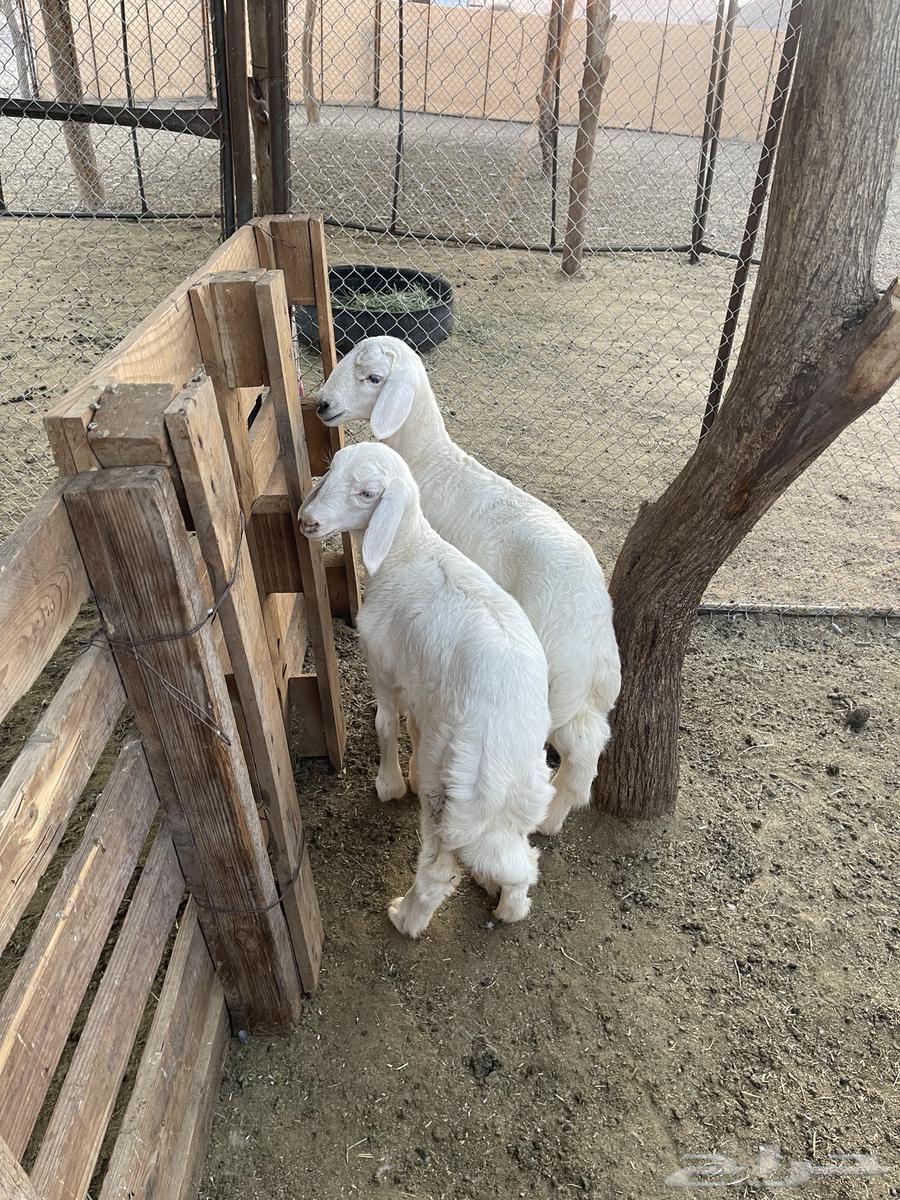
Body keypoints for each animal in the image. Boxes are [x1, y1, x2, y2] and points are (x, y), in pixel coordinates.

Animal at [299, 441, 554, 938]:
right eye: (331, 470)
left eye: (367, 493)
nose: (307, 522)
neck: (405, 549)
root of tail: (509, 742)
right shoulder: (424, 686)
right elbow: (414, 728)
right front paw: (409, 776)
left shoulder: (384, 665)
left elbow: (385, 725)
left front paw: (391, 785)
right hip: (519, 797)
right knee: (518, 861)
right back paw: (507, 903)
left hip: (452, 793)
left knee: (438, 870)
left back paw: (406, 916)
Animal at [313, 336, 621, 835]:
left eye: (373, 378)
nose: (321, 405)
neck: (426, 461)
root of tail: (594, 615)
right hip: (583, 687)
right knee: (590, 742)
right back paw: (558, 812)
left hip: (556, 677)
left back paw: (548, 816)